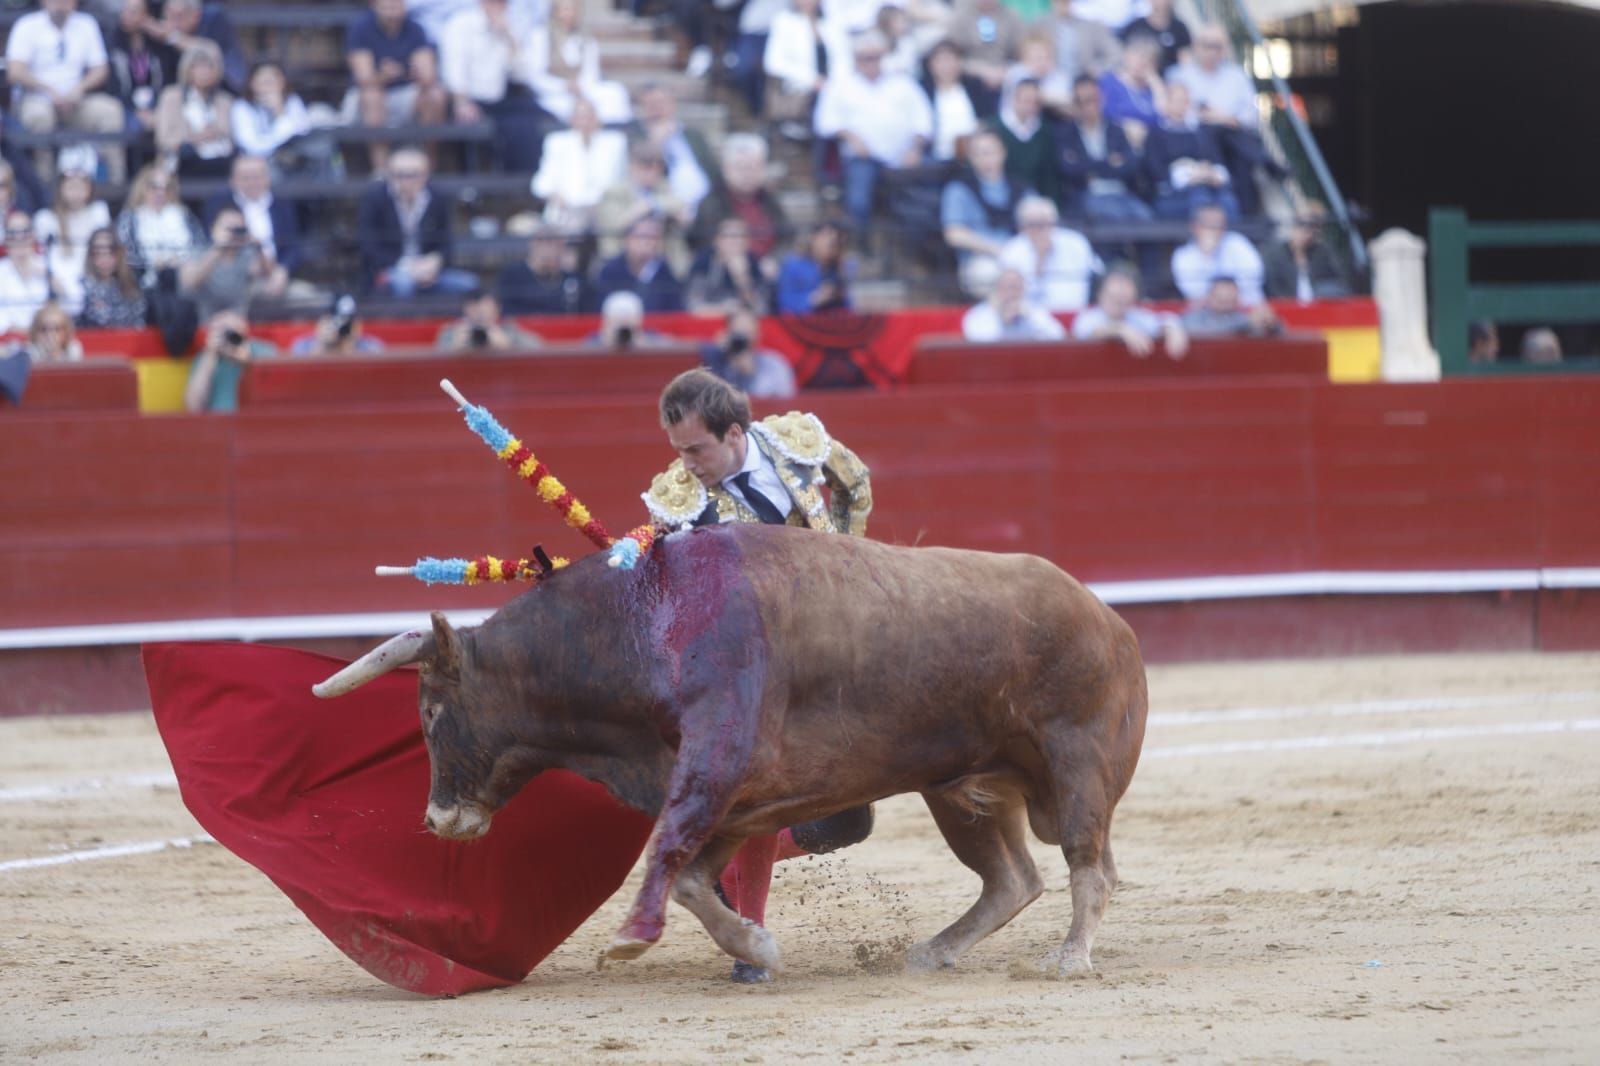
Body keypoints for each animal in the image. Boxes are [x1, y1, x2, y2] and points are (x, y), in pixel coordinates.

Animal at [312, 518, 1145, 973]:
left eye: (429, 711)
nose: (437, 819)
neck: (642, 623)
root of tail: (1108, 618)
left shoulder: (716, 762)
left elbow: (667, 852)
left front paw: (630, 941)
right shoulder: (744, 798)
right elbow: (689, 876)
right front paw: (755, 946)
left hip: (1077, 761)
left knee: (1089, 866)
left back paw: (1070, 957)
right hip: (958, 786)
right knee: (1011, 879)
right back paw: (933, 951)